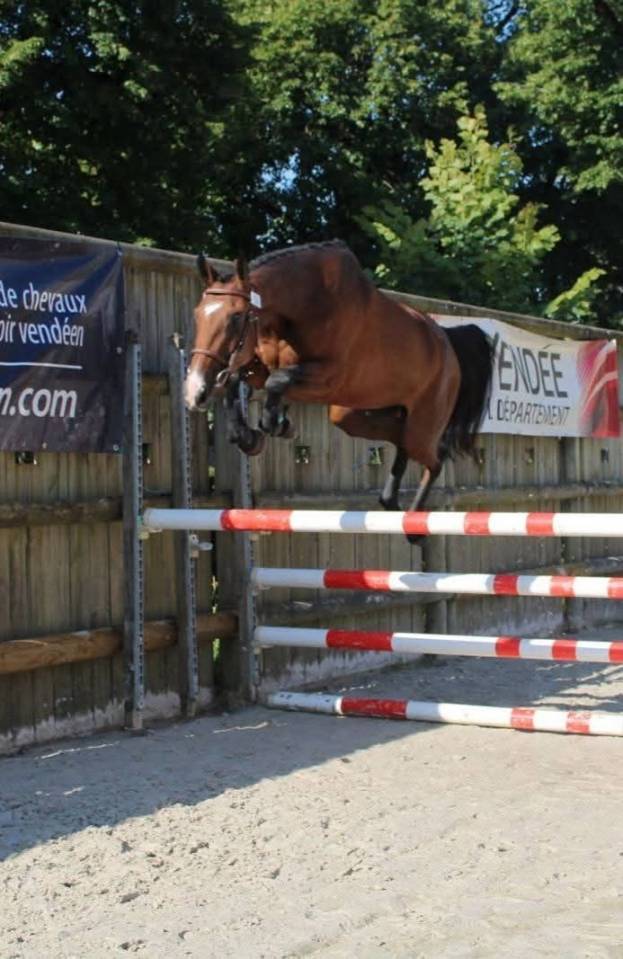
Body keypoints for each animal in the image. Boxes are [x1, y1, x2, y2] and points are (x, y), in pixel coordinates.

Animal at [185, 240, 493, 542]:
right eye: (197, 314)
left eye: (236, 317)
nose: (195, 391)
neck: (302, 308)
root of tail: (447, 343)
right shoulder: (259, 366)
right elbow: (237, 380)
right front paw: (249, 436)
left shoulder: (327, 379)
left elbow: (276, 381)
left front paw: (274, 423)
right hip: (355, 414)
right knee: (400, 438)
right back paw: (391, 502)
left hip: (422, 421)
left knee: (435, 457)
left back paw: (415, 526)